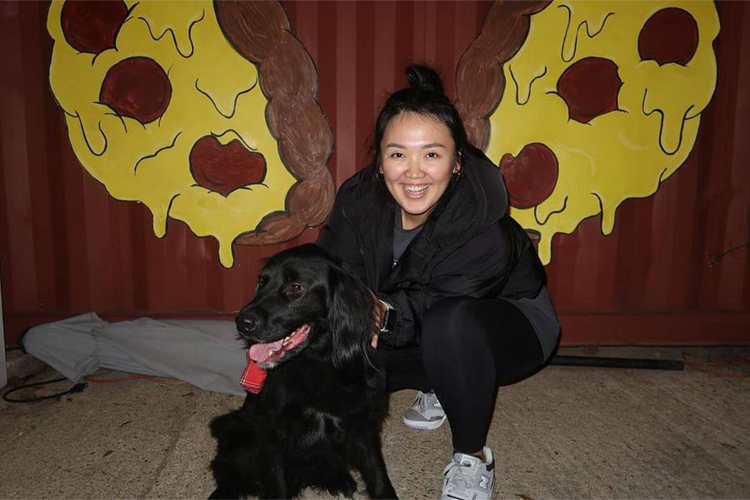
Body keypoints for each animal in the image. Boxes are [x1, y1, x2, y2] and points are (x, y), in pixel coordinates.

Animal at [209, 244, 398, 499]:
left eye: (295, 287)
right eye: (261, 282)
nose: (242, 323)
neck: (318, 362)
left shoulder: (361, 427)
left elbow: (378, 476)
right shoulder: (271, 430)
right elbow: (276, 483)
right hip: (237, 427)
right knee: (227, 472)